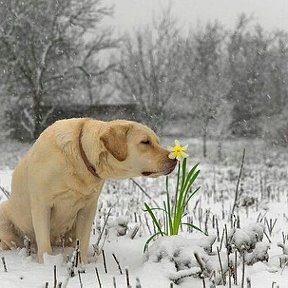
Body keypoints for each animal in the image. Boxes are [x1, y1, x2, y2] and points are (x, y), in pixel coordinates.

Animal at [0, 117, 177, 264]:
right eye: (145, 142)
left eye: (157, 141)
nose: (174, 159)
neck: (79, 158)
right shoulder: (41, 205)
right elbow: (44, 244)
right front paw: (47, 264)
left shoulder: (88, 208)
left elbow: (83, 241)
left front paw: (82, 265)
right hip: (5, 215)